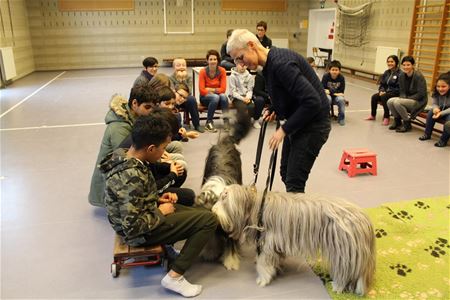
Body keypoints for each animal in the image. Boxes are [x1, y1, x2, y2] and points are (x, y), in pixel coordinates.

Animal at [213, 185, 374, 296]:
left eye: (224, 198)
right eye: (220, 196)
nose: (213, 211)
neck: (256, 207)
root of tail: (365, 220)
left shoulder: (268, 243)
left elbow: (264, 264)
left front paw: (263, 279)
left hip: (343, 254)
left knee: (344, 273)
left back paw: (337, 286)